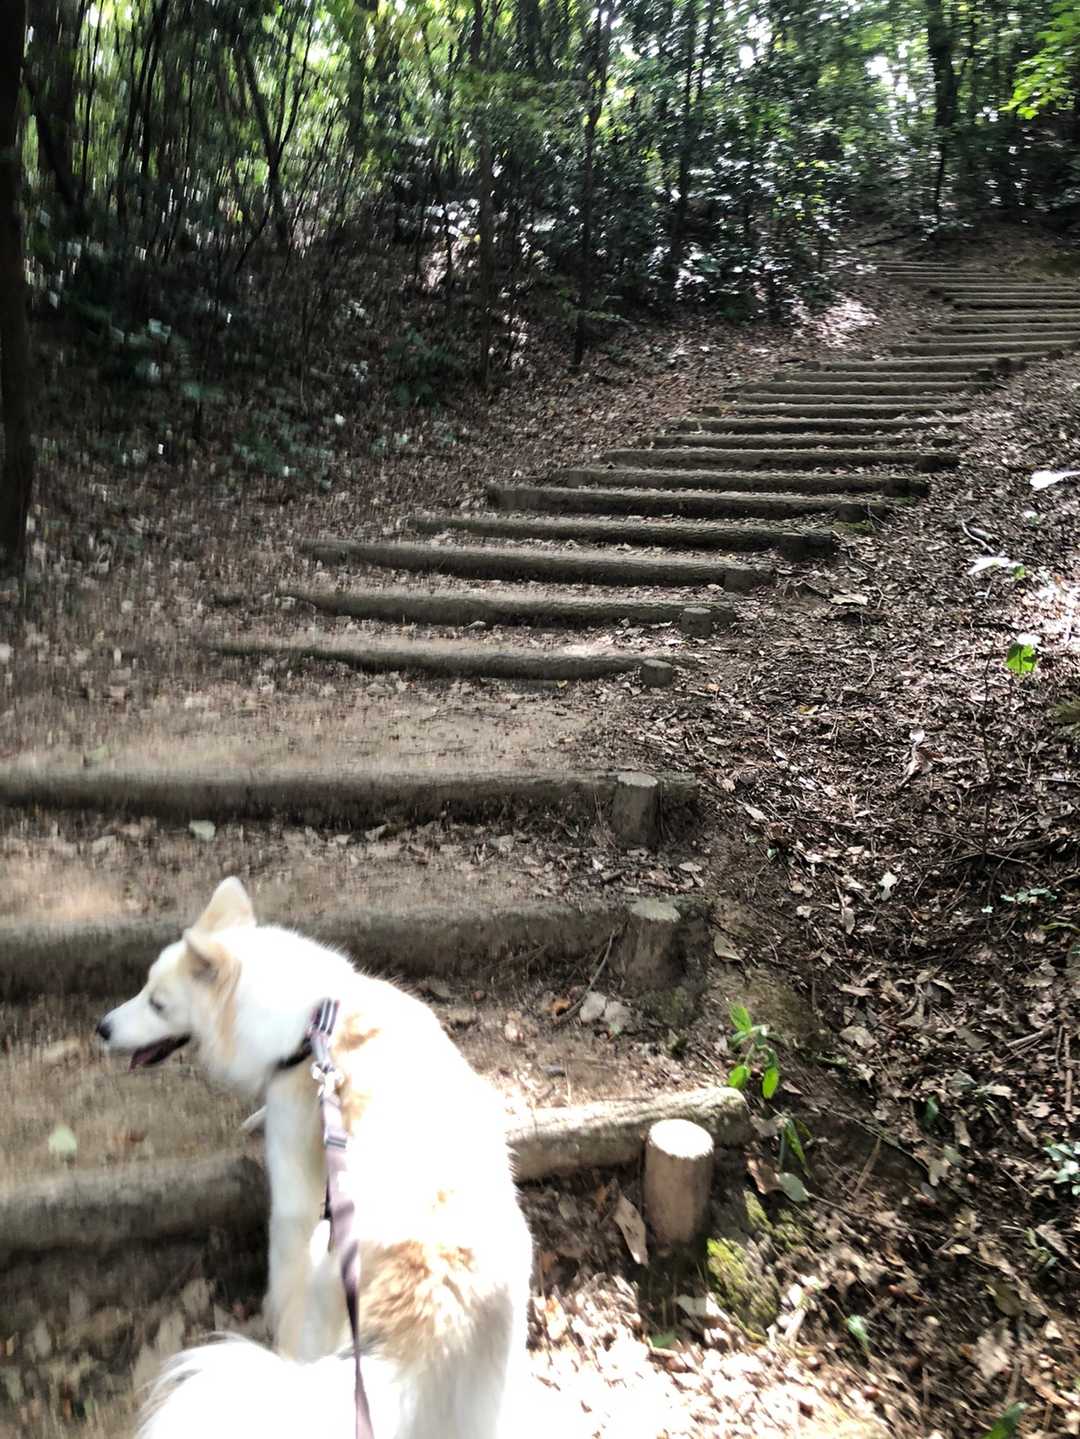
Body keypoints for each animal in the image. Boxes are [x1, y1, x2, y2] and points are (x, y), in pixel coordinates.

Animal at [97, 878, 534, 1439]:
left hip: (331, 1261)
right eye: (144, 990)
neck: (310, 1026)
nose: (102, 1028)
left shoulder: (293, 1196)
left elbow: (281, 1266)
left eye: (157, 1003)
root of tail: (439, 1297)